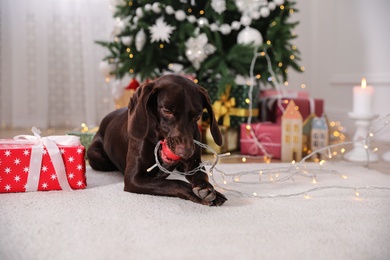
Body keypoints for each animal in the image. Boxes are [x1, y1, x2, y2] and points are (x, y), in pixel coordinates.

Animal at [87, 74, 229, 206]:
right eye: (167, 111)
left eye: (197, 115)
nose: (186, 152)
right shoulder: (134, 178)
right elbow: (175, 183)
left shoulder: (194, 165)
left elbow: (201, 175)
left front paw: (209, 189)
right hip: (97, 157)